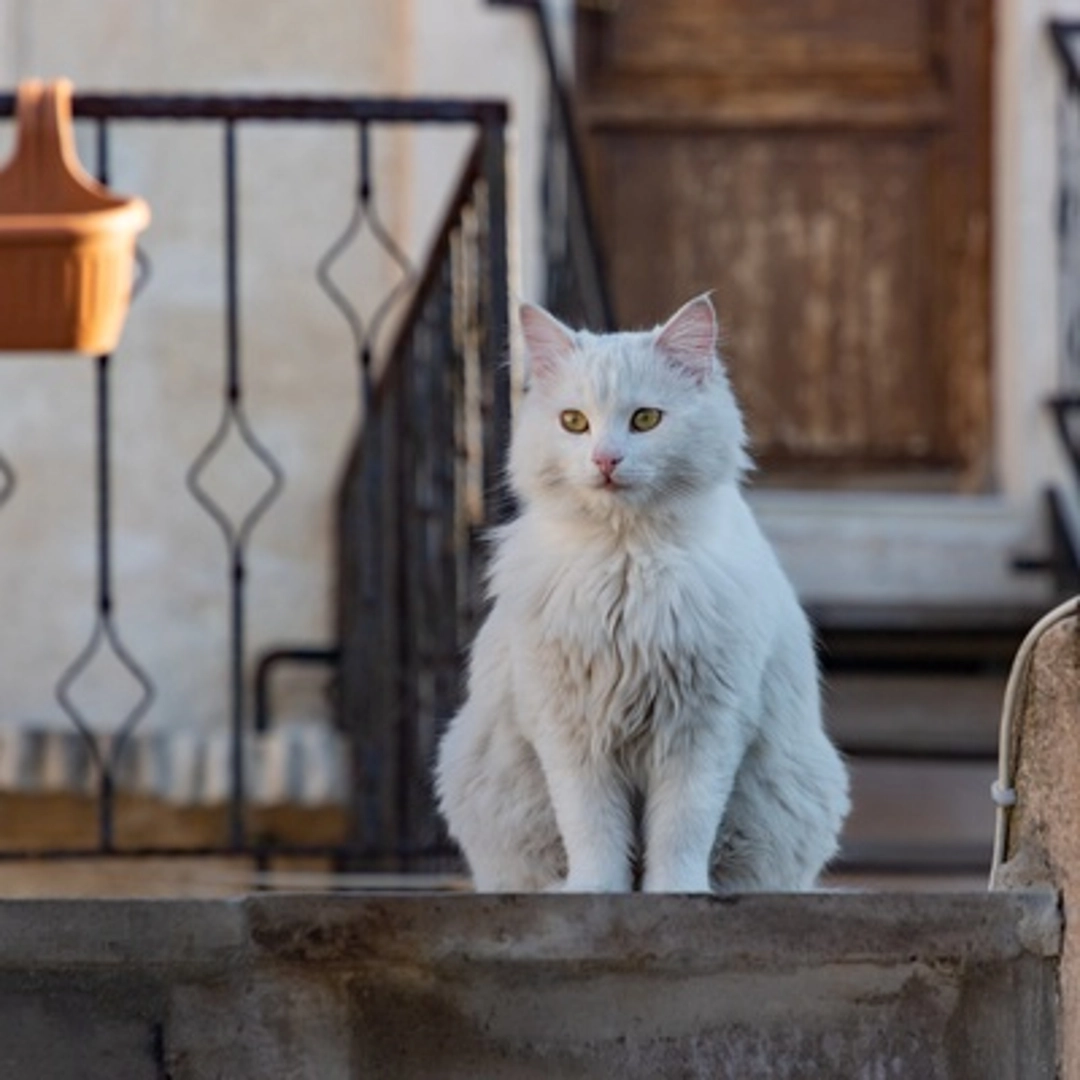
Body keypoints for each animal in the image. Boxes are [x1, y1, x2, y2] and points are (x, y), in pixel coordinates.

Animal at [434, 291, 846, 889]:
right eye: (574, 422)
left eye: (645, 420)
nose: (606, 459)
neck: (624, 563)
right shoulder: (570, 731)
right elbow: (593, 832)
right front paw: (594, 892)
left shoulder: (704, 727)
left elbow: (680, 831)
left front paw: (678, 893)